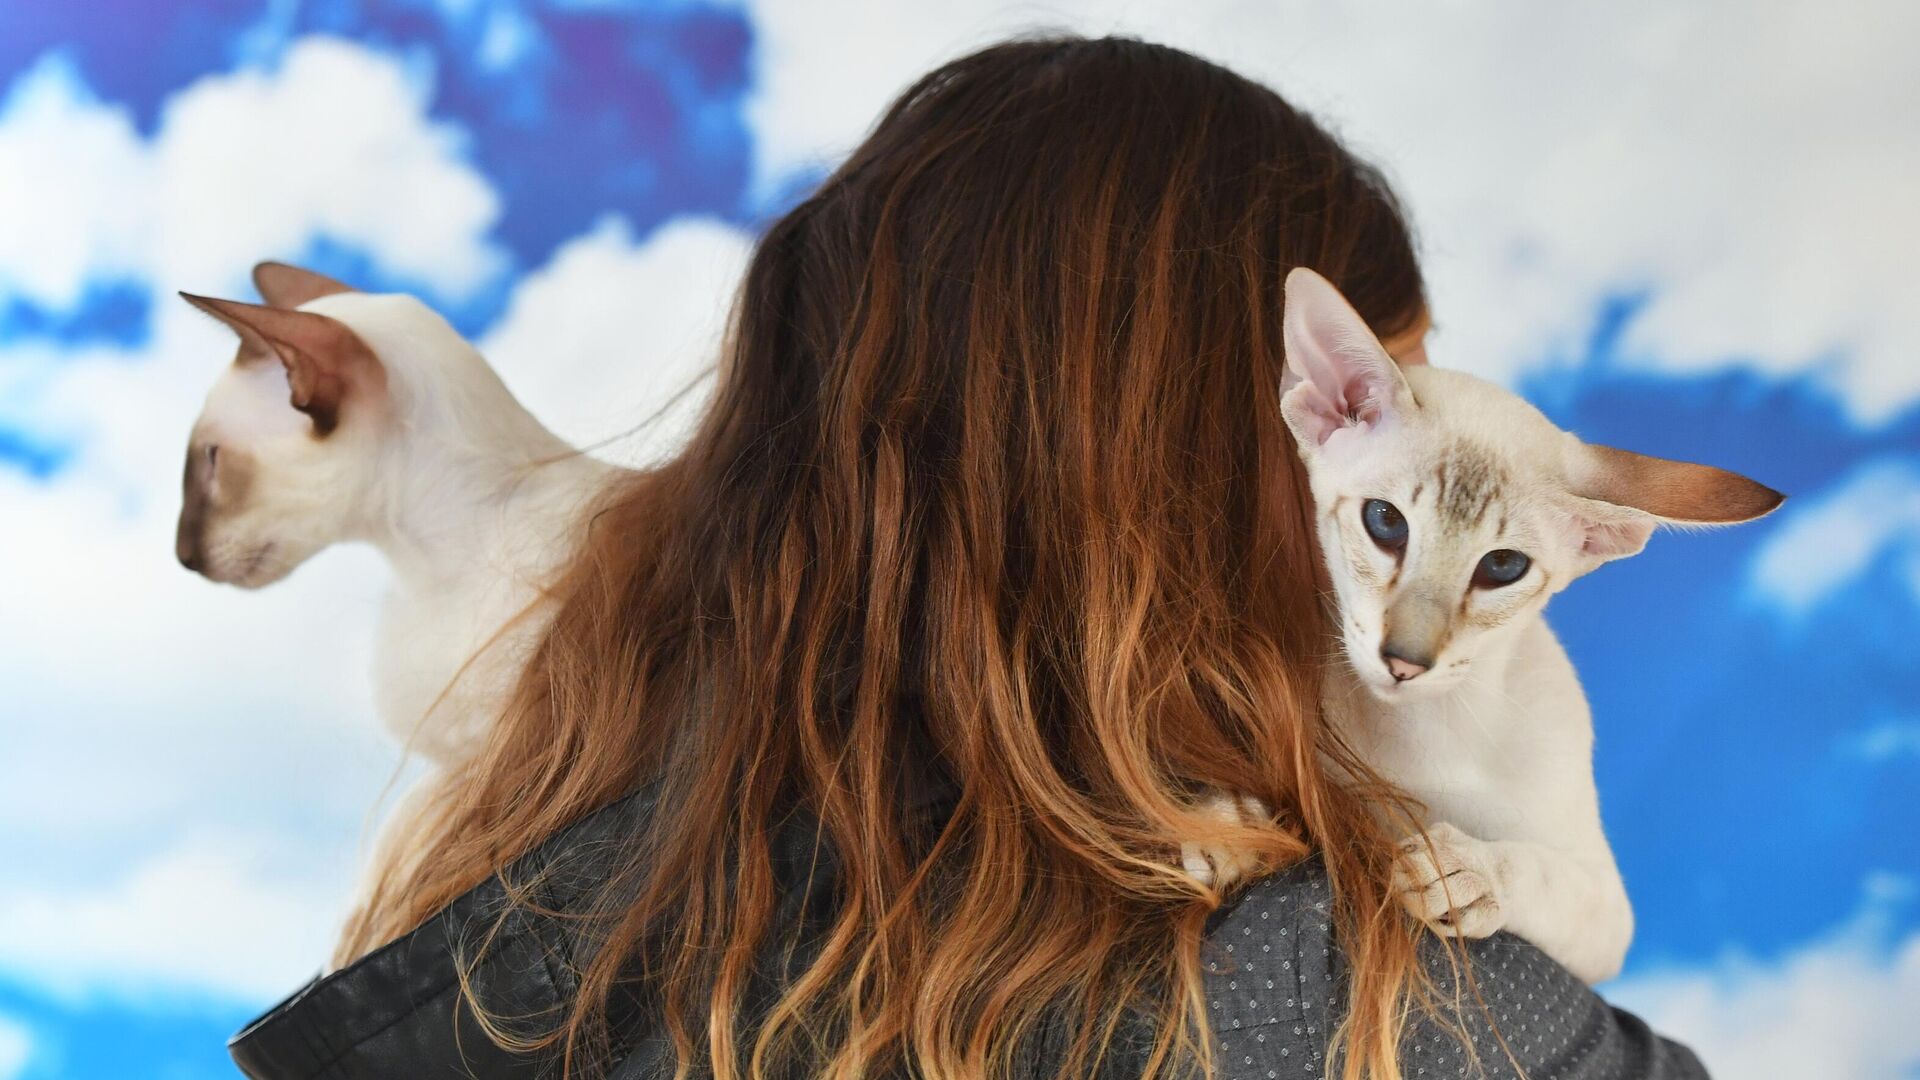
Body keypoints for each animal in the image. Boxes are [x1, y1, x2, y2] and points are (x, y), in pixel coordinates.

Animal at [1182, 265, 1781, 980]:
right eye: (1385, 522)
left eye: (1502, 566)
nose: (1404, 662)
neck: (1420, 736)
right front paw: (1229, 824)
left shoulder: (1607, 914)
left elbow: (1545, 875)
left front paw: (1465, 870)